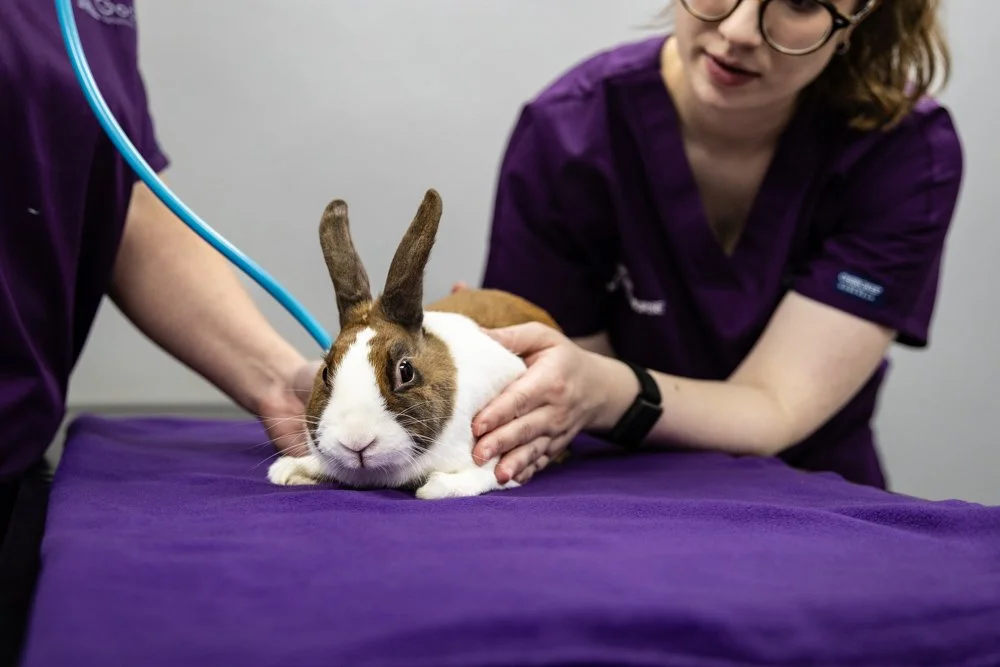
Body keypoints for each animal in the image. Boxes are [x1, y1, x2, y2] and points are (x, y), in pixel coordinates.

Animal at [267, 188, 562, 500]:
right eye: (325, 373)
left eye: (405, 371)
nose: (356, 441)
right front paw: (288, 471)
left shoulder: (497, 455)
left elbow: (478, 476)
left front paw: (435, 487)